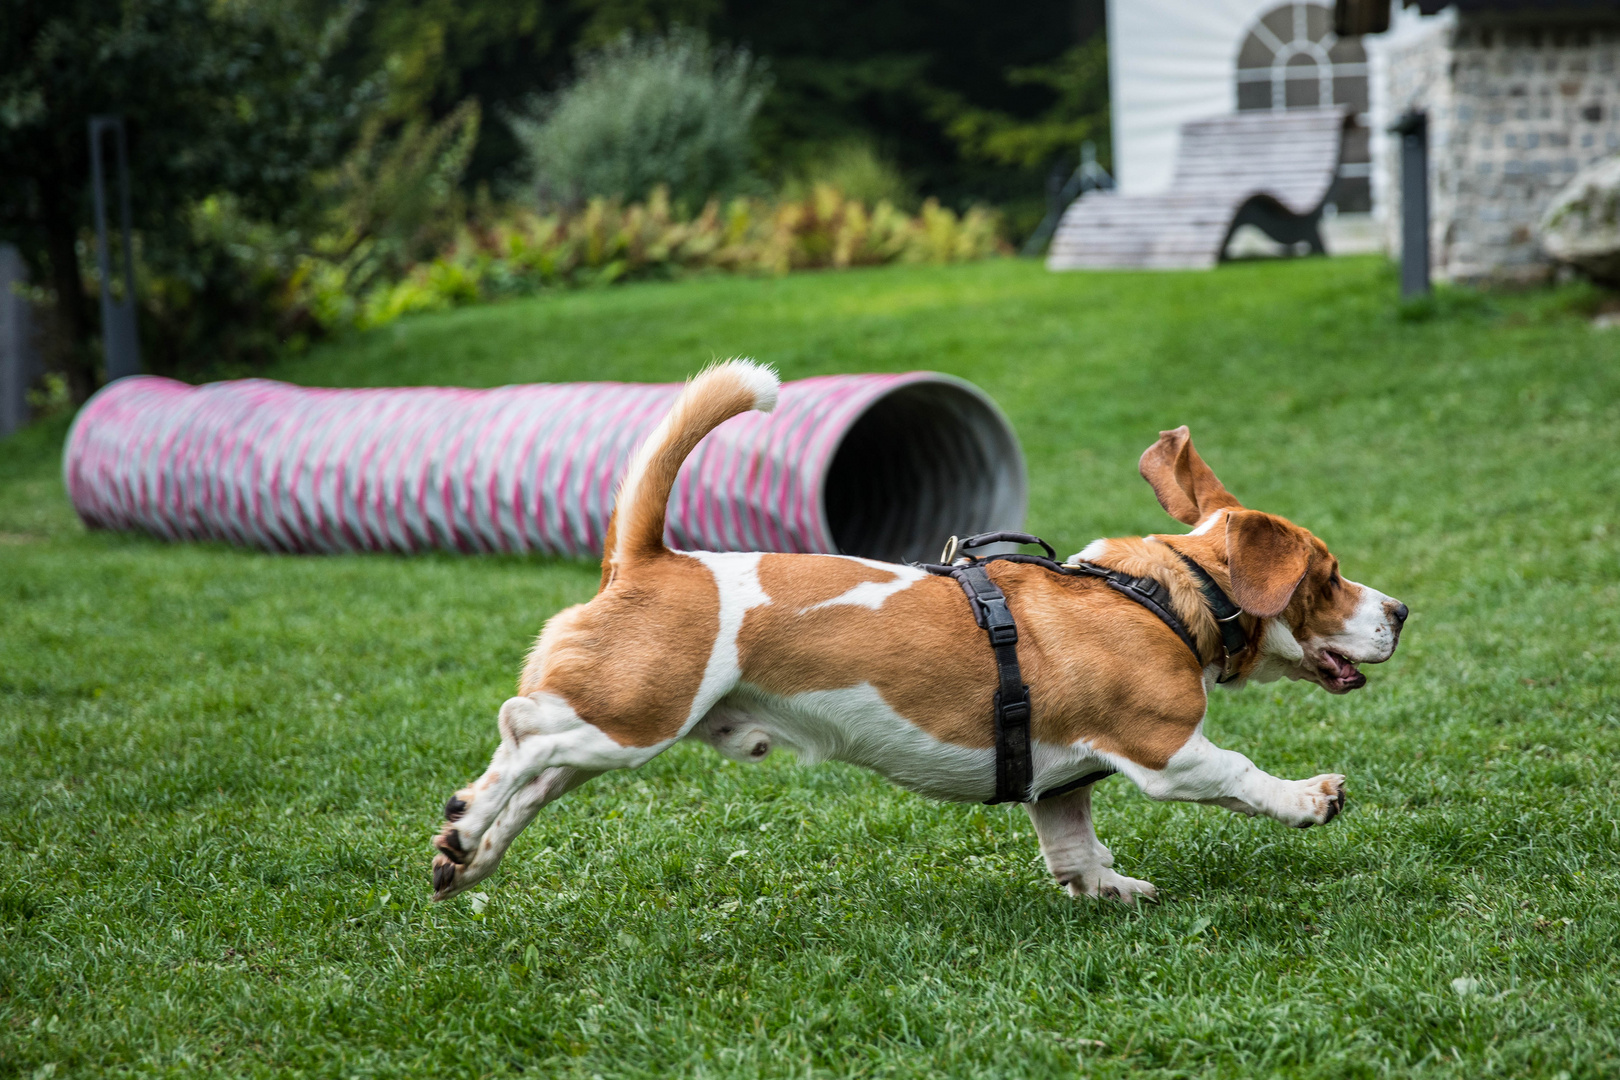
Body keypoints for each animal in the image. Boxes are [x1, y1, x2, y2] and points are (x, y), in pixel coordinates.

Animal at [430, 362, 1406, 906]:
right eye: (1326, 577)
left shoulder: (1061, 784)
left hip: (610, 735)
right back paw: (466, 822)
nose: (1400, 612)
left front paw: (1110, 889)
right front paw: (1309, 798)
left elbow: (1076, 849)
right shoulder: (1167, 753)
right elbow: (1242, 775)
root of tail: (646, 557)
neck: (1159, 592)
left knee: (535, 780)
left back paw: (466, 858)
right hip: (635, 718)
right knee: (523, 734)